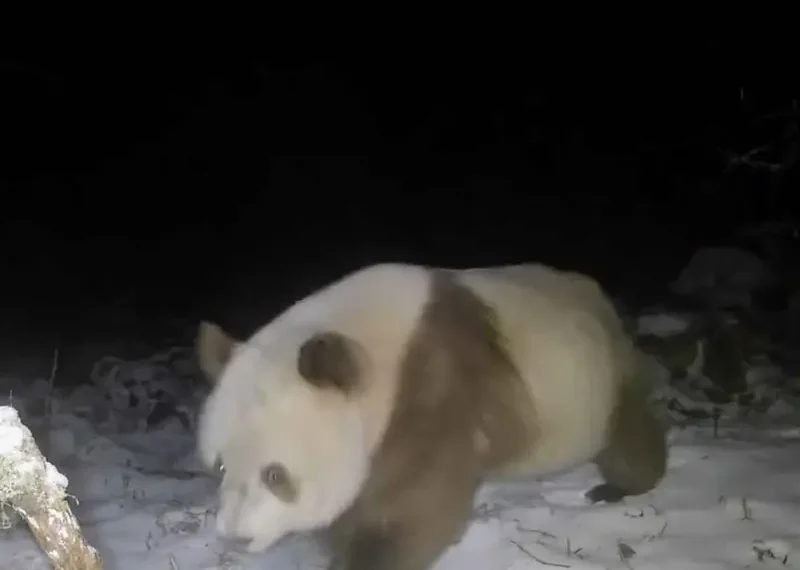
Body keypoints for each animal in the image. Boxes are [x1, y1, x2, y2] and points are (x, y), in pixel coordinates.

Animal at [195, 262, 668, 570]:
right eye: (219, 465)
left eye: (275, 474)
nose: (235, 538)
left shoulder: (435, 386)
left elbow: (415, 505)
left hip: (597, 373)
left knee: (625, 431)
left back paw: (618, 487)